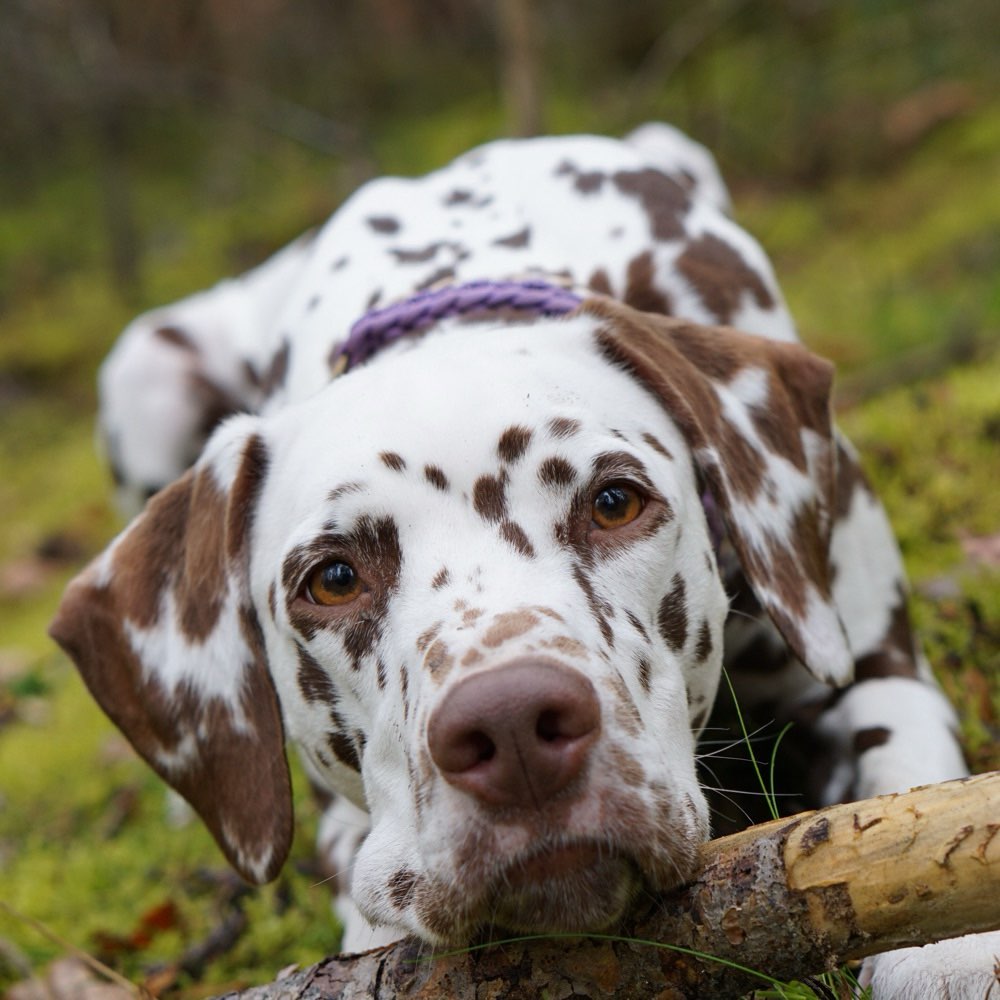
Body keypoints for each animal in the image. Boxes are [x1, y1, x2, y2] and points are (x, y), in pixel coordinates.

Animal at [52, 123, 1000, 992]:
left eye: (615, 501)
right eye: (333, 579)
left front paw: (944, 953)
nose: (510, 727)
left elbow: (910, 800)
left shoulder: (874, 669)